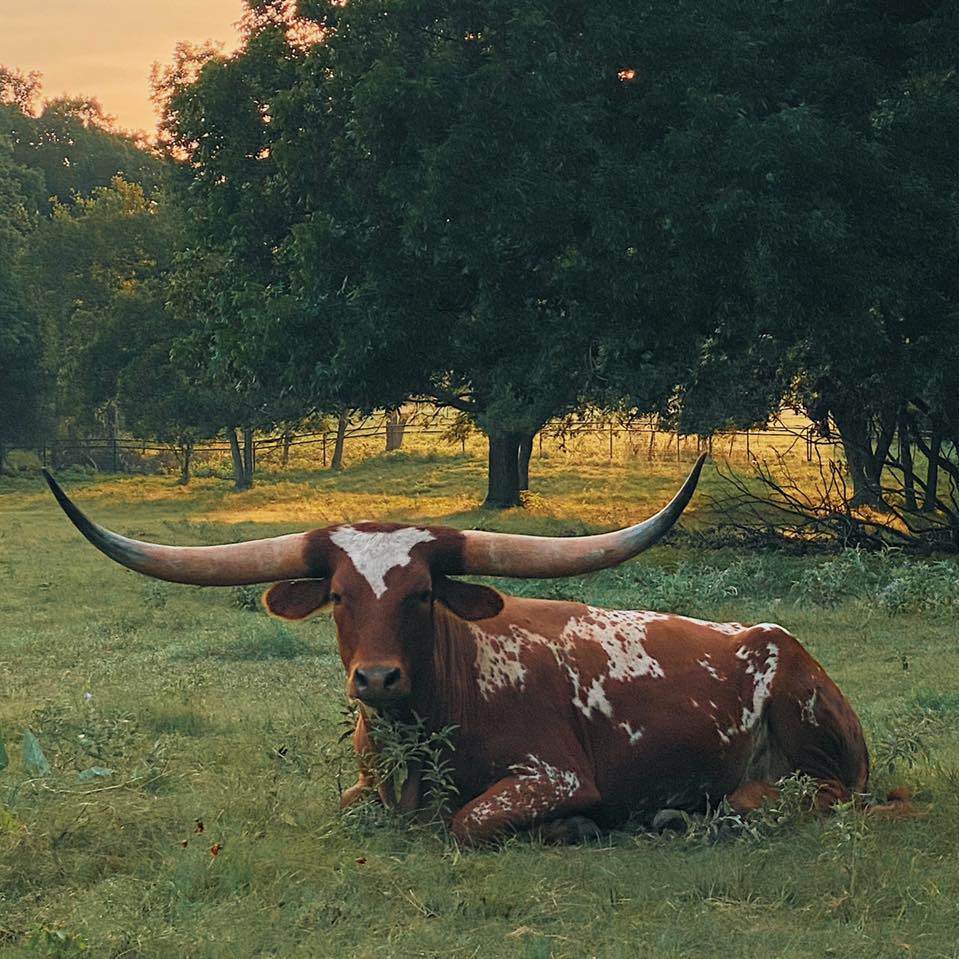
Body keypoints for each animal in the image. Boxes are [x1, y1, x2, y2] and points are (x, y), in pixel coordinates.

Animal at [43, 457, 873, 843]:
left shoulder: (553, 774)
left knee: (804, 793)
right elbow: (350, 807)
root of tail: (778, 636)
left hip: (809, 730)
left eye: (421, 594)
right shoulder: (365, 786)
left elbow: (466, 821)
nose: (377, 677)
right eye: (338, 595)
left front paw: (570, 829)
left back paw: (696, 810)